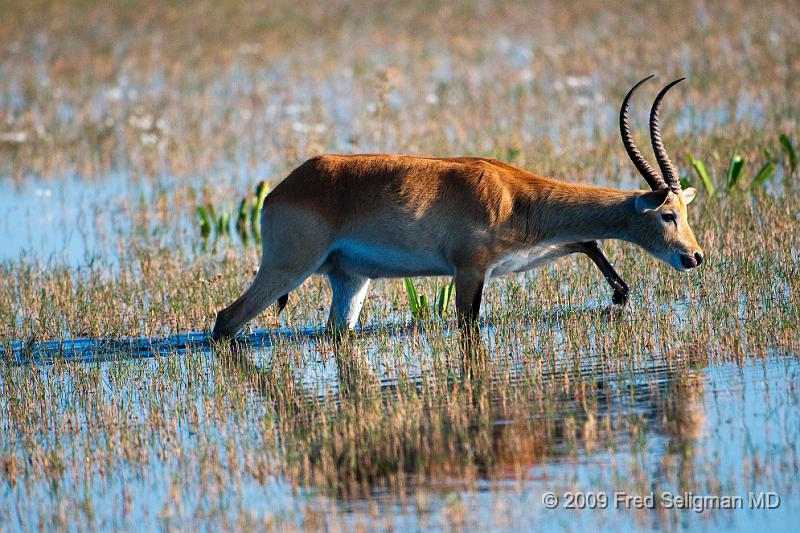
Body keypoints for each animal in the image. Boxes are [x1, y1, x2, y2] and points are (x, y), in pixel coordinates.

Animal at [211, 75, 700, 338]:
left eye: (686, 211)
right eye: (668, 214)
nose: (695, 256)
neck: (514, 196)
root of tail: (281, 189)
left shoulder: (526, 252)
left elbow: (587, 240)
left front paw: (620, 295)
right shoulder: (469, 272)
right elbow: (469, 327)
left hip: (350, 279)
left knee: (335, 331)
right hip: (287, 267)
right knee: (225, 319)